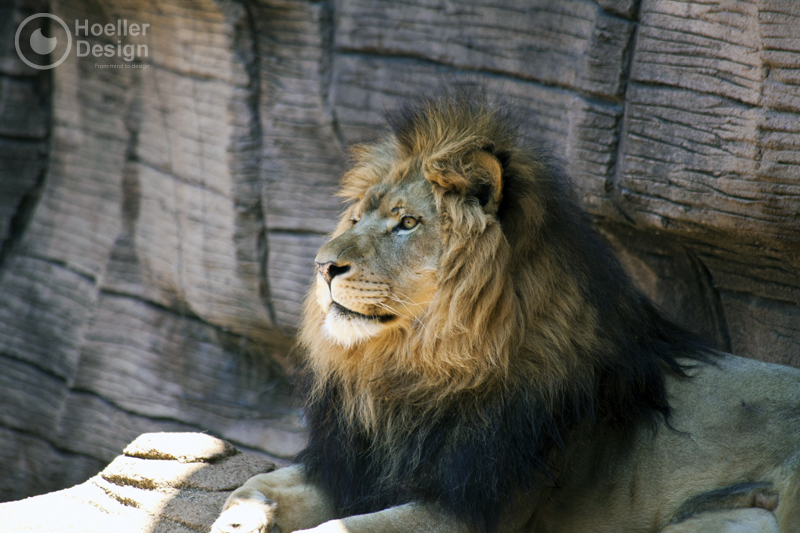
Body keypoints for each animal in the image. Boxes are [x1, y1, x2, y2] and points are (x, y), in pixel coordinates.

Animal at [212, 93, 800, 533]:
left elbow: (340, 529)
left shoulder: (474, 508)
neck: (412, 372)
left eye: (407, 223)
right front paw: (237, 518)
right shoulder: (359, 468)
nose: (321, 265)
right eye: (357, 218)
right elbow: (256, 484)